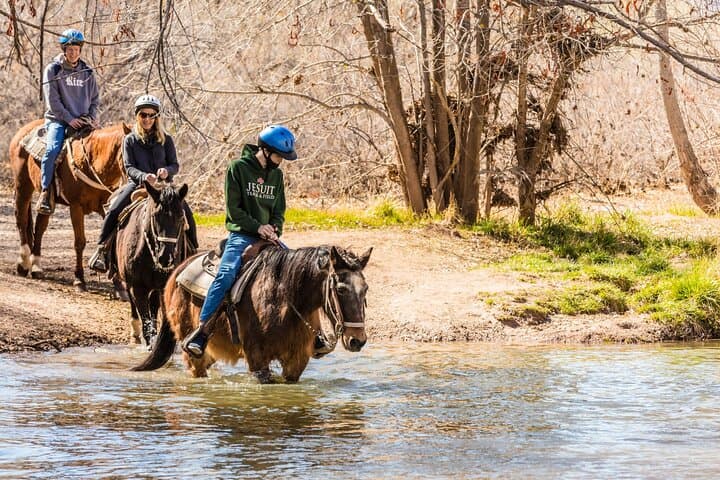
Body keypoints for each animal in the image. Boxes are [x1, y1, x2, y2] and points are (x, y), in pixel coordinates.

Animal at [9, 119, 130, 290]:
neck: (93, 162)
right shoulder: (76, 207)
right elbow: (79, 242)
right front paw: (79, 279)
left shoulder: (106, 207)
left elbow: (109, 237)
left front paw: (118, 284)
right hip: (23, 185)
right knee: (22, 220)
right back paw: (23, 264)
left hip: (47, 199)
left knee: (40, 226)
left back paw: (36, 267)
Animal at [112, 182, 191, 346]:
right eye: (155, 216)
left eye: (181, 217)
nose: (166, 257)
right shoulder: (137, 287)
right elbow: (146, 323)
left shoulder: (163, 286)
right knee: (133, 304)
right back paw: (135, 332)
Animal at [132, 244, 373, 382]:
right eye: (340, 289)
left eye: (366, 289)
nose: (357, 340)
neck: (285, 300)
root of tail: (177, 271)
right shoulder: (257, 361)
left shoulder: (297, 361)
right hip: (192, 352)